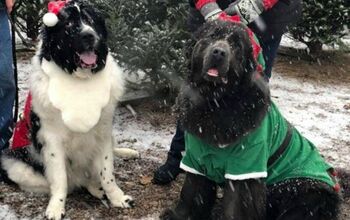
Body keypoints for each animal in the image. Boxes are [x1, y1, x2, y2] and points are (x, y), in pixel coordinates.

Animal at [0, 0, 137, 219]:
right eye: (69, 25)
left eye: (91, 21)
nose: (89, 35)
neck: (79, 79)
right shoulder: (52, 140)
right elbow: (60, 179)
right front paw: (56, 208)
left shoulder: (103, 131)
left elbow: (107, 172)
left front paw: (118, 198)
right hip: (15, 164)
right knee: (70, 181)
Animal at [161, 21, 348, 220]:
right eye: (212, 36)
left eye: (236, 45)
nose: (219, 52)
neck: (215, 102)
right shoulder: (197, 159)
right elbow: (191, 192)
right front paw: (179, 215)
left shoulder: (245, 167)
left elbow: (236, 205)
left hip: (303, 192)